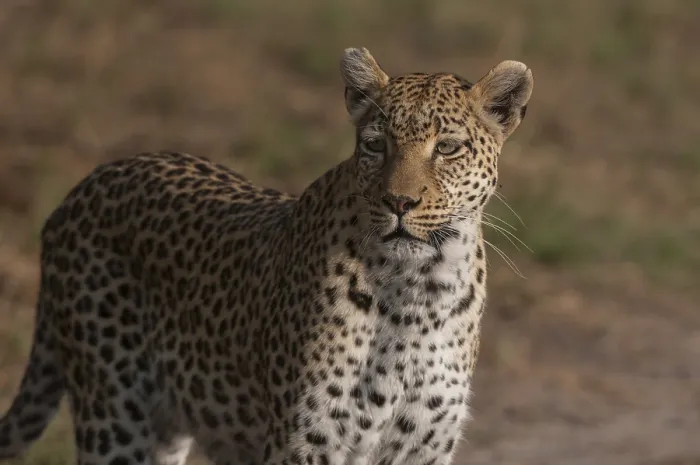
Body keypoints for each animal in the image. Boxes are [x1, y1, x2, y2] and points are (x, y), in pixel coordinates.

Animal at [0, 47, 533, 465]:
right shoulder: (306, 442)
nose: (398, 202)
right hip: (114, 413)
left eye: (448, 148)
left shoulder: (423, 446)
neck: (417, 289)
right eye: (375, 145)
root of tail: (80, 189)